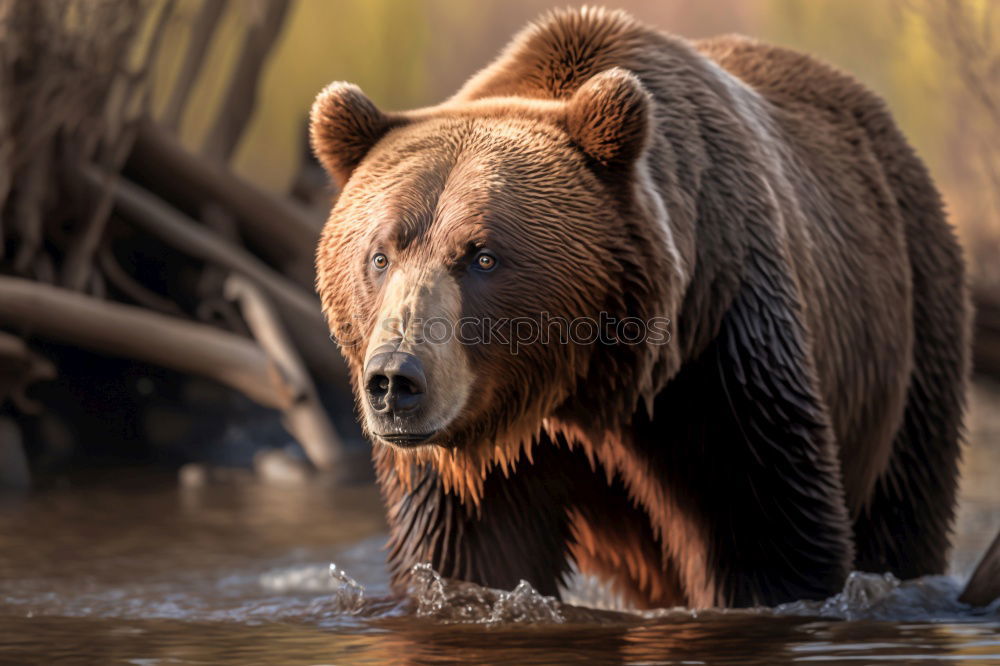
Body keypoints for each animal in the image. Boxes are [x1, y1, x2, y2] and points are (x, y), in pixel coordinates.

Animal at [310, 7, 968, 608]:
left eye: (483, 257)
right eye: (380, 255)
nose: (395, 380)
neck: (576, 384)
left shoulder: (717, 351)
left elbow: (767, 528)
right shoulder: (471, 459)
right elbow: (462, 555)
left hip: (911, 323)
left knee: (903, 505)